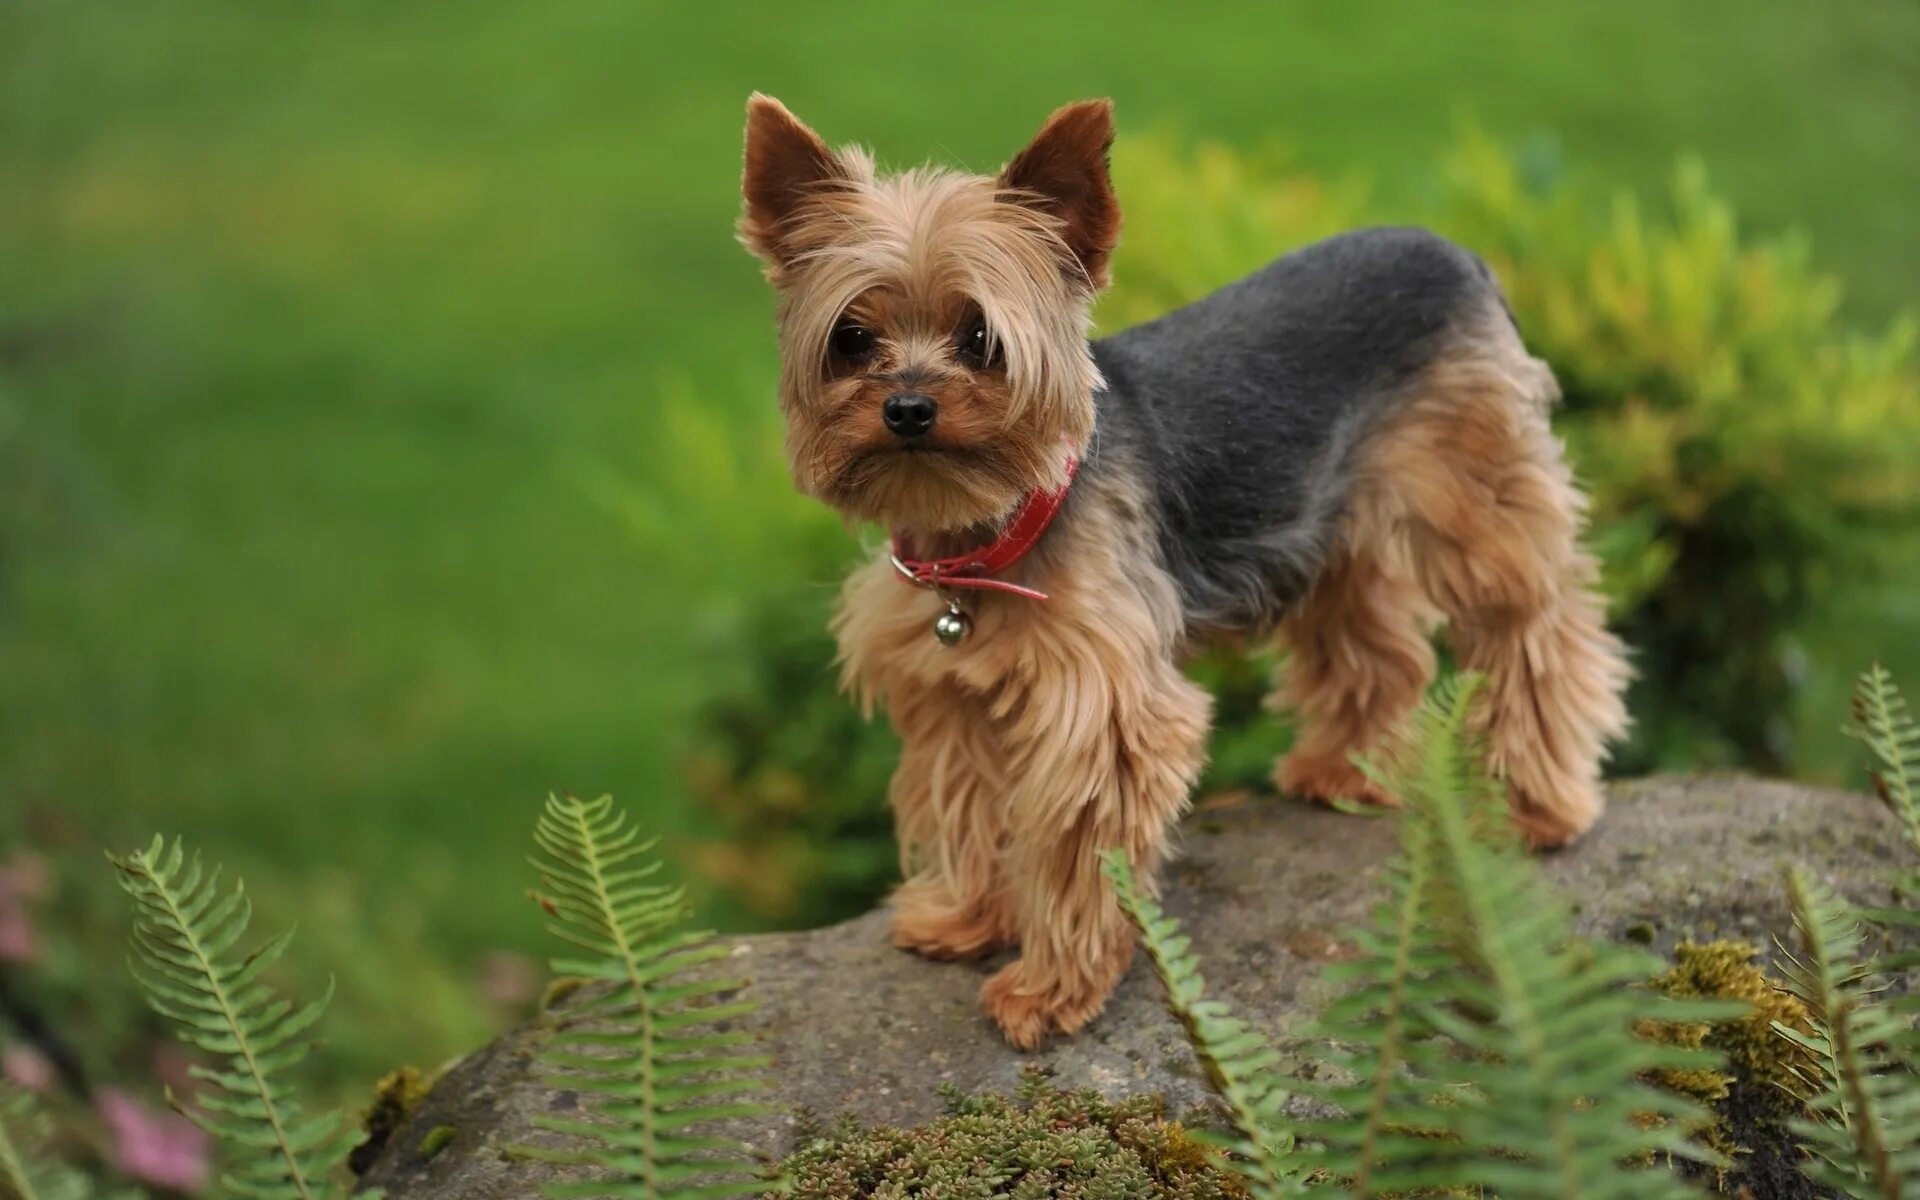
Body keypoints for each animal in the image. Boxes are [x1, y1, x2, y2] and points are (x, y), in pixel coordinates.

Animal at [733, 96, 1620, 1044]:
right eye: (852, 338)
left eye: (980, 339)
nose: (906, 406)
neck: (986, 528)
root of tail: (1458, 252)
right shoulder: (947, 692)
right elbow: (967, 802)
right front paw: (967, 918)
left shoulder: (1102, 705)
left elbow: (1079, 845)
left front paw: (1049, 989)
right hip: (1326, 515)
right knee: (1371, 637)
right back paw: (1345, 772)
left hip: (1474, 495)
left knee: (1535, 623)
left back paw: (1536, 807)